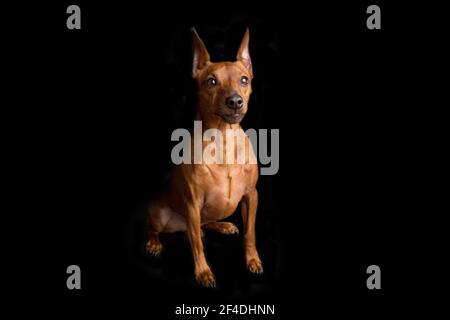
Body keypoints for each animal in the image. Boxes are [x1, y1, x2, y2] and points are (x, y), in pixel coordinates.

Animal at [146, 28, 262, 288]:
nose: (235, 101)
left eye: (244, 80)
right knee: (166, 230)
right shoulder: (193, 203)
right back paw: (154, 243)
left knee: (202, 226)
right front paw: (203, 272)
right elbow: (197, 246)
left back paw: (223, 225)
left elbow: (250, 233)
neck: (225, 141)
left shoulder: (251, 196)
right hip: (161, 213)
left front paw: (252, 260)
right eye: (212, 81)